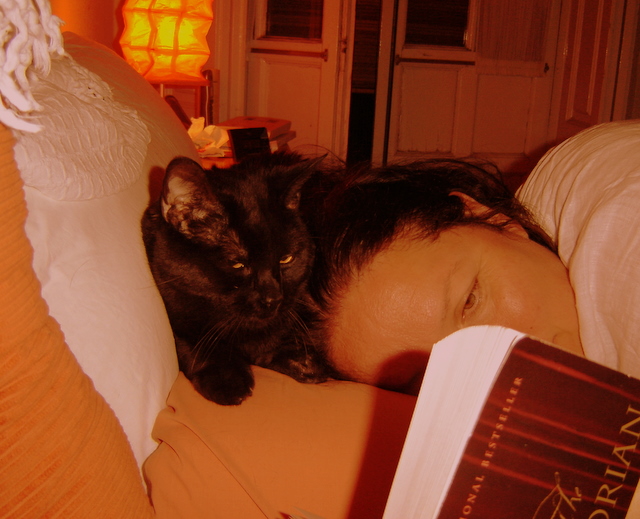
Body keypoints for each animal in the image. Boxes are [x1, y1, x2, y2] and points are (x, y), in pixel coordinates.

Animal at [141, 151, 336, 405]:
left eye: (286, 259)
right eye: (237, 263)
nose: (273, 298)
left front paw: (302, 360)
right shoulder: (174, 305)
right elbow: (192, 343)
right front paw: (226, 377)